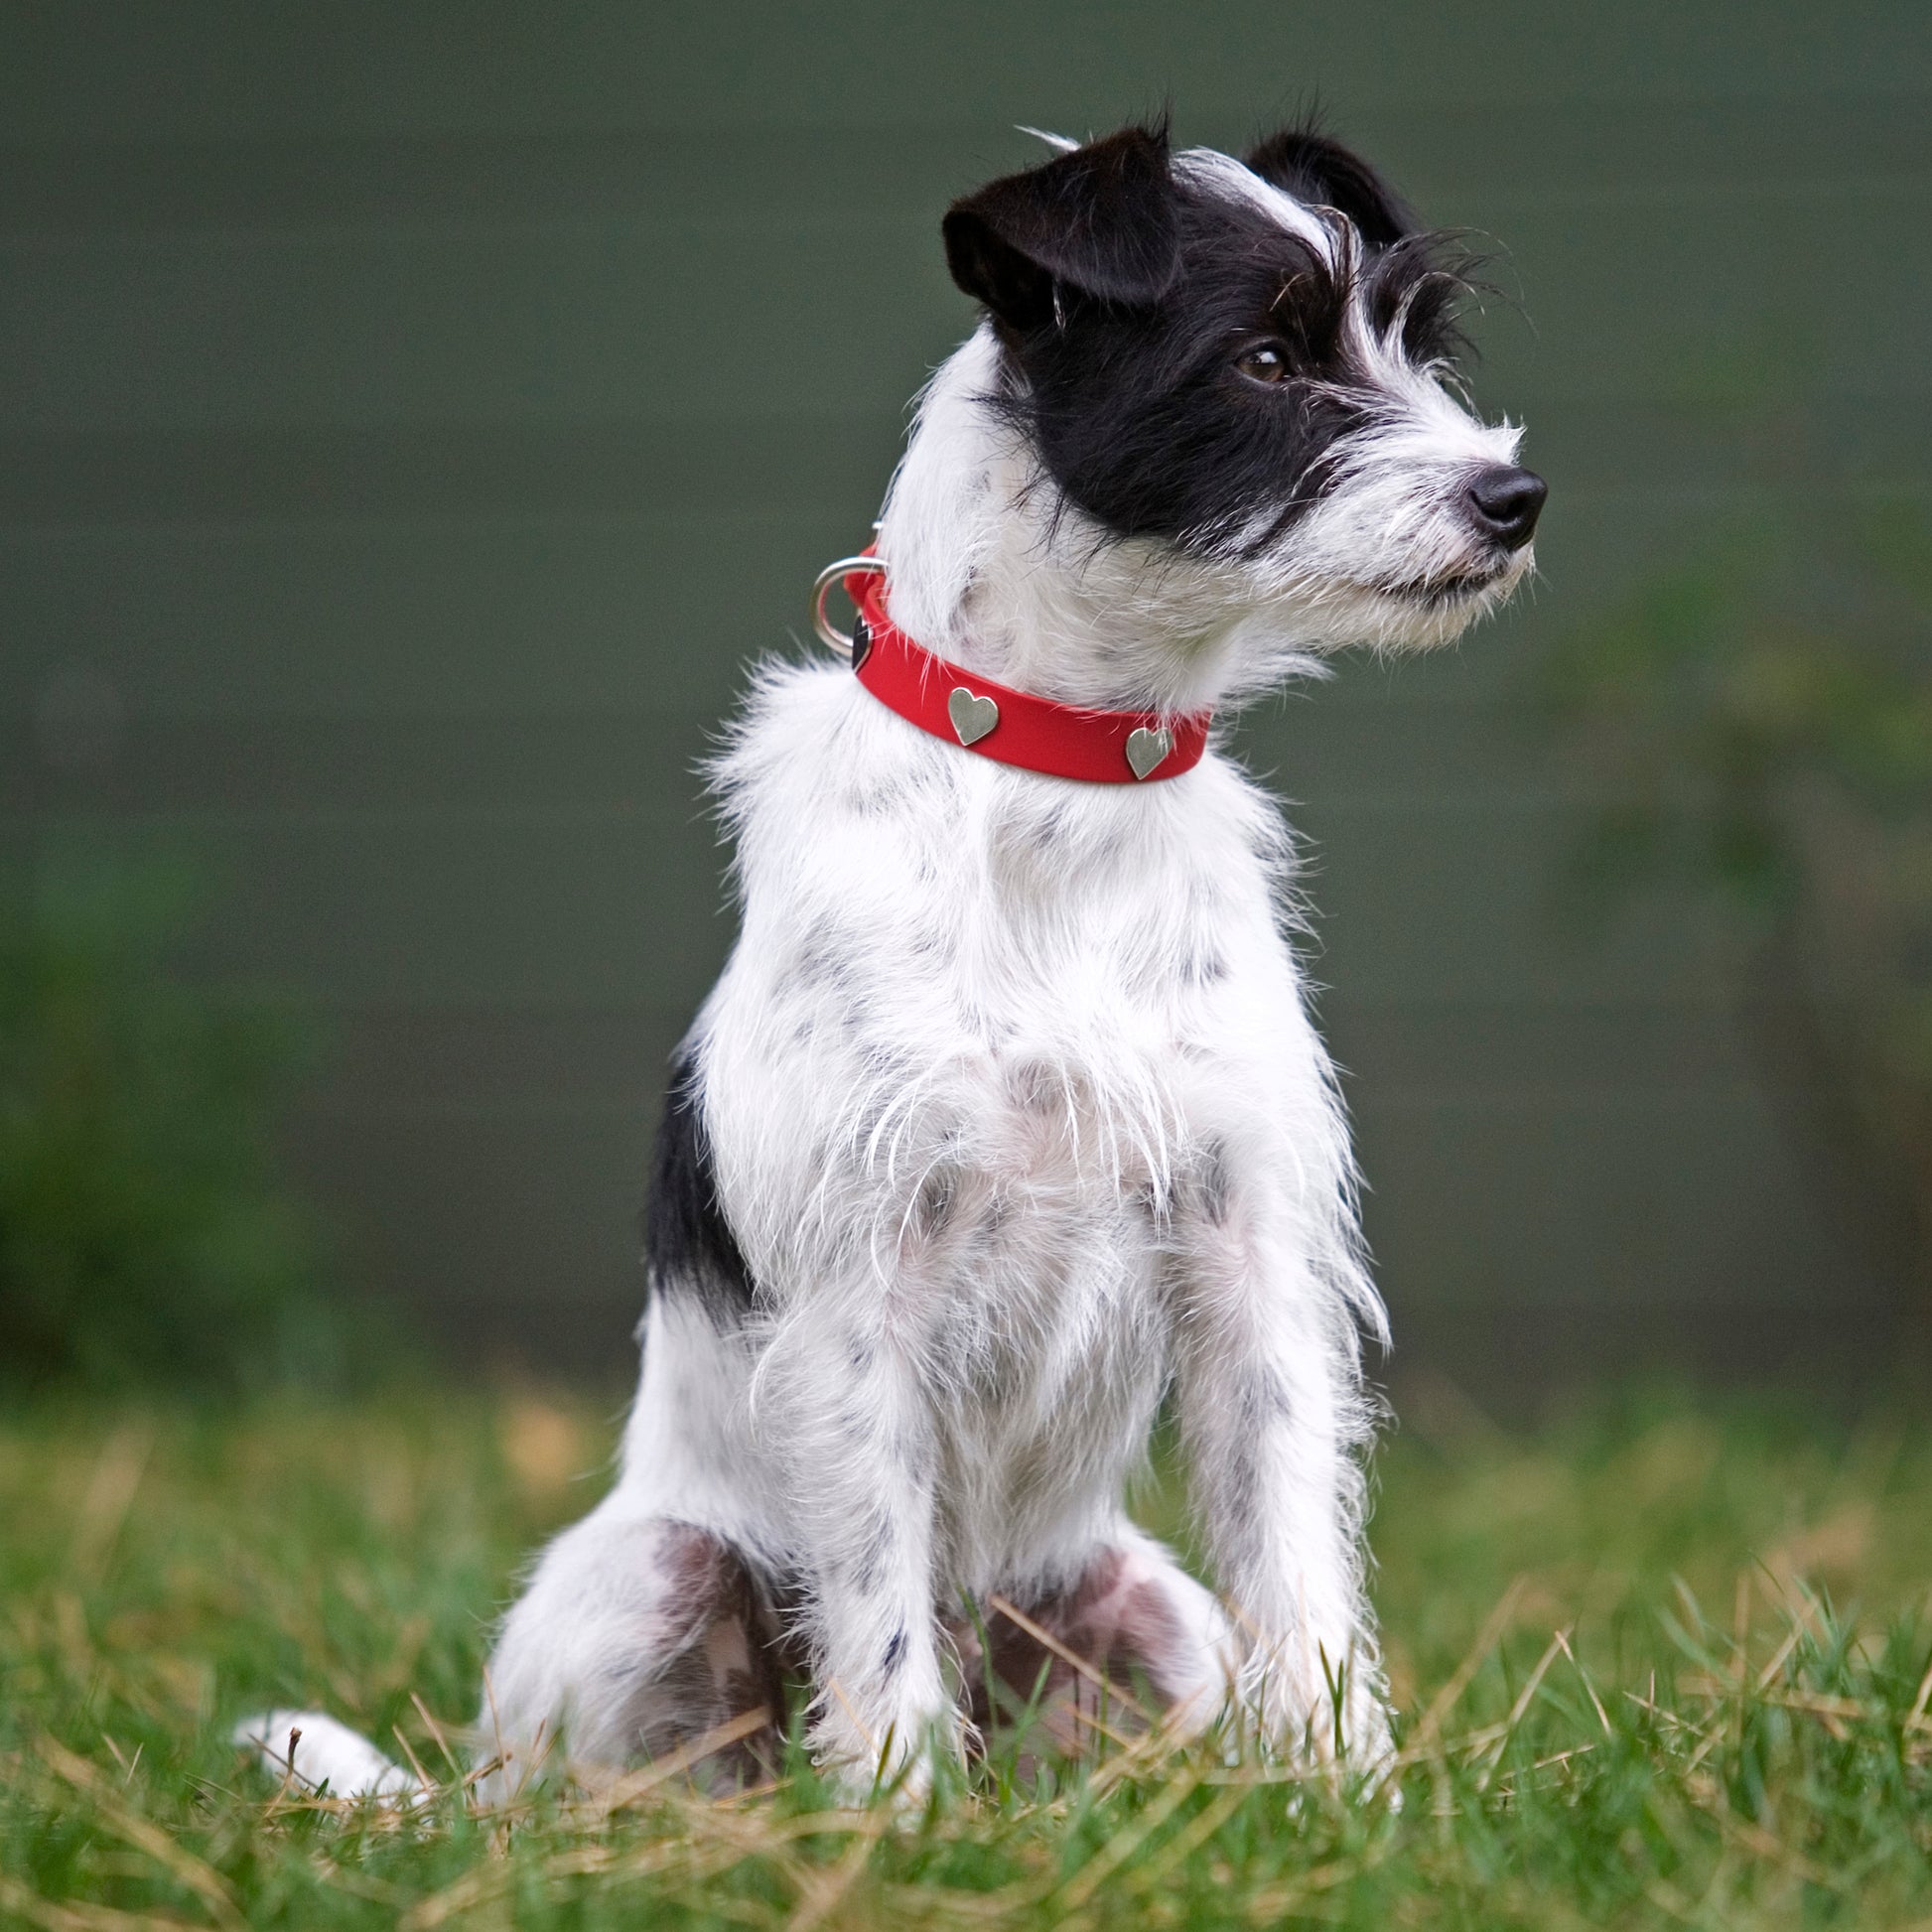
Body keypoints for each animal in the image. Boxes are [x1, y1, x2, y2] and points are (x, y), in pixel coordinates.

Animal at [241, 120, 1538, 1800]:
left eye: (1415, 344)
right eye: (1265, 357)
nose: (1511, 494)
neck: (1060, 794)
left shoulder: (1249, 1257)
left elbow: (1296, 1556)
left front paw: (1343, 1793)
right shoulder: (862, 1293)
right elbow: (874, 1598)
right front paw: (901, 1817)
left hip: (1145, 1610)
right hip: (652, 1581)